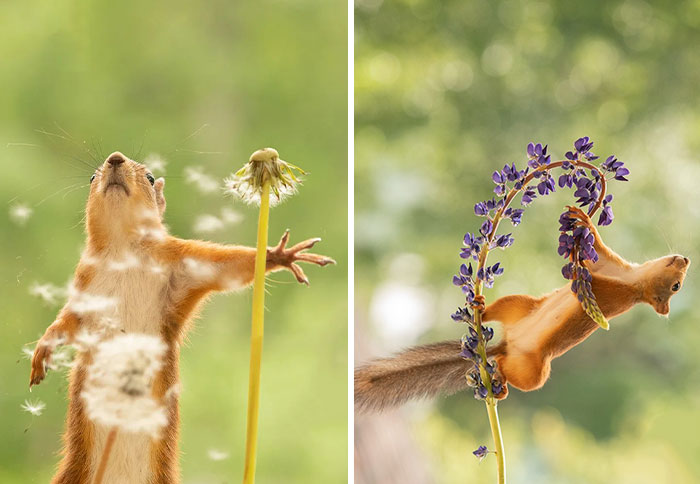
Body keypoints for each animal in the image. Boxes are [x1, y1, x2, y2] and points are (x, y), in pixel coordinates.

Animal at [29, 151, 335, 484]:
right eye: (91, 178)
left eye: (150, 177)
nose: (115, 158)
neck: (124, 250)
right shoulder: (84, 286)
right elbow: (67, 322)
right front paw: (42, 351)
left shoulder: (183, 263)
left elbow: (229, 267)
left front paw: (281, 255)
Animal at [355, 206, 689, 412]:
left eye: (676, 287)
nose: (685, 258)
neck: (634, 282)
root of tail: (505, 347)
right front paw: (580, 218)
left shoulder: (607, 282)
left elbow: (596, 254)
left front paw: (586, 221)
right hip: (517, 304)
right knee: (496, 317)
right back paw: (479, 306)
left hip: (533, 374)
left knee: (509, 373)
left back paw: (499, 387)